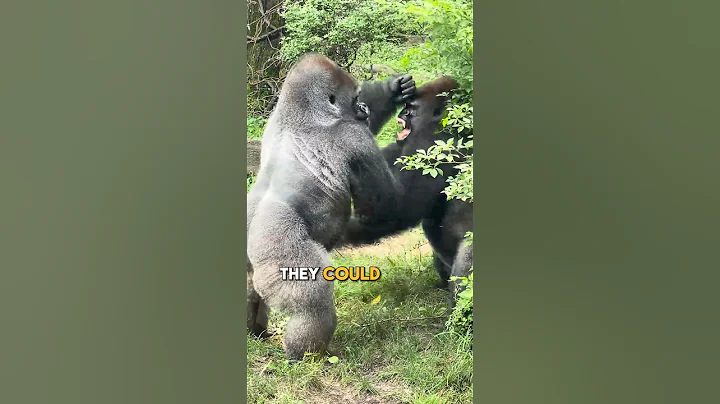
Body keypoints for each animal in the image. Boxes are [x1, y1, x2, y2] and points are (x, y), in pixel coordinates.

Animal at [246, 53, 416, 360]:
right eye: (355, 97)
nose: (363, 107)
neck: (303, 113)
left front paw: (394, 90)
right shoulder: (353, 137)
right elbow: (385, 207)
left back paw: (255, 332)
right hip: (279, 254)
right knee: (312, 301)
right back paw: (306, 352)